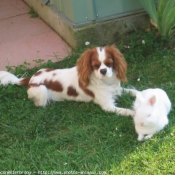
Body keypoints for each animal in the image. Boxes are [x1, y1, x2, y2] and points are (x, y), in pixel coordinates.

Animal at [0, 45, 134, 116]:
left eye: (109, 63)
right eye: (95, 66)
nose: (103, 71)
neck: (106, 81)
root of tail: (31, 78)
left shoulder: (118, 89)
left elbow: (134, 91)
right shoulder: (108, 106)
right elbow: (127, 111)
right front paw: (134, 113)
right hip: (42, 89)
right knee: (38, 103)